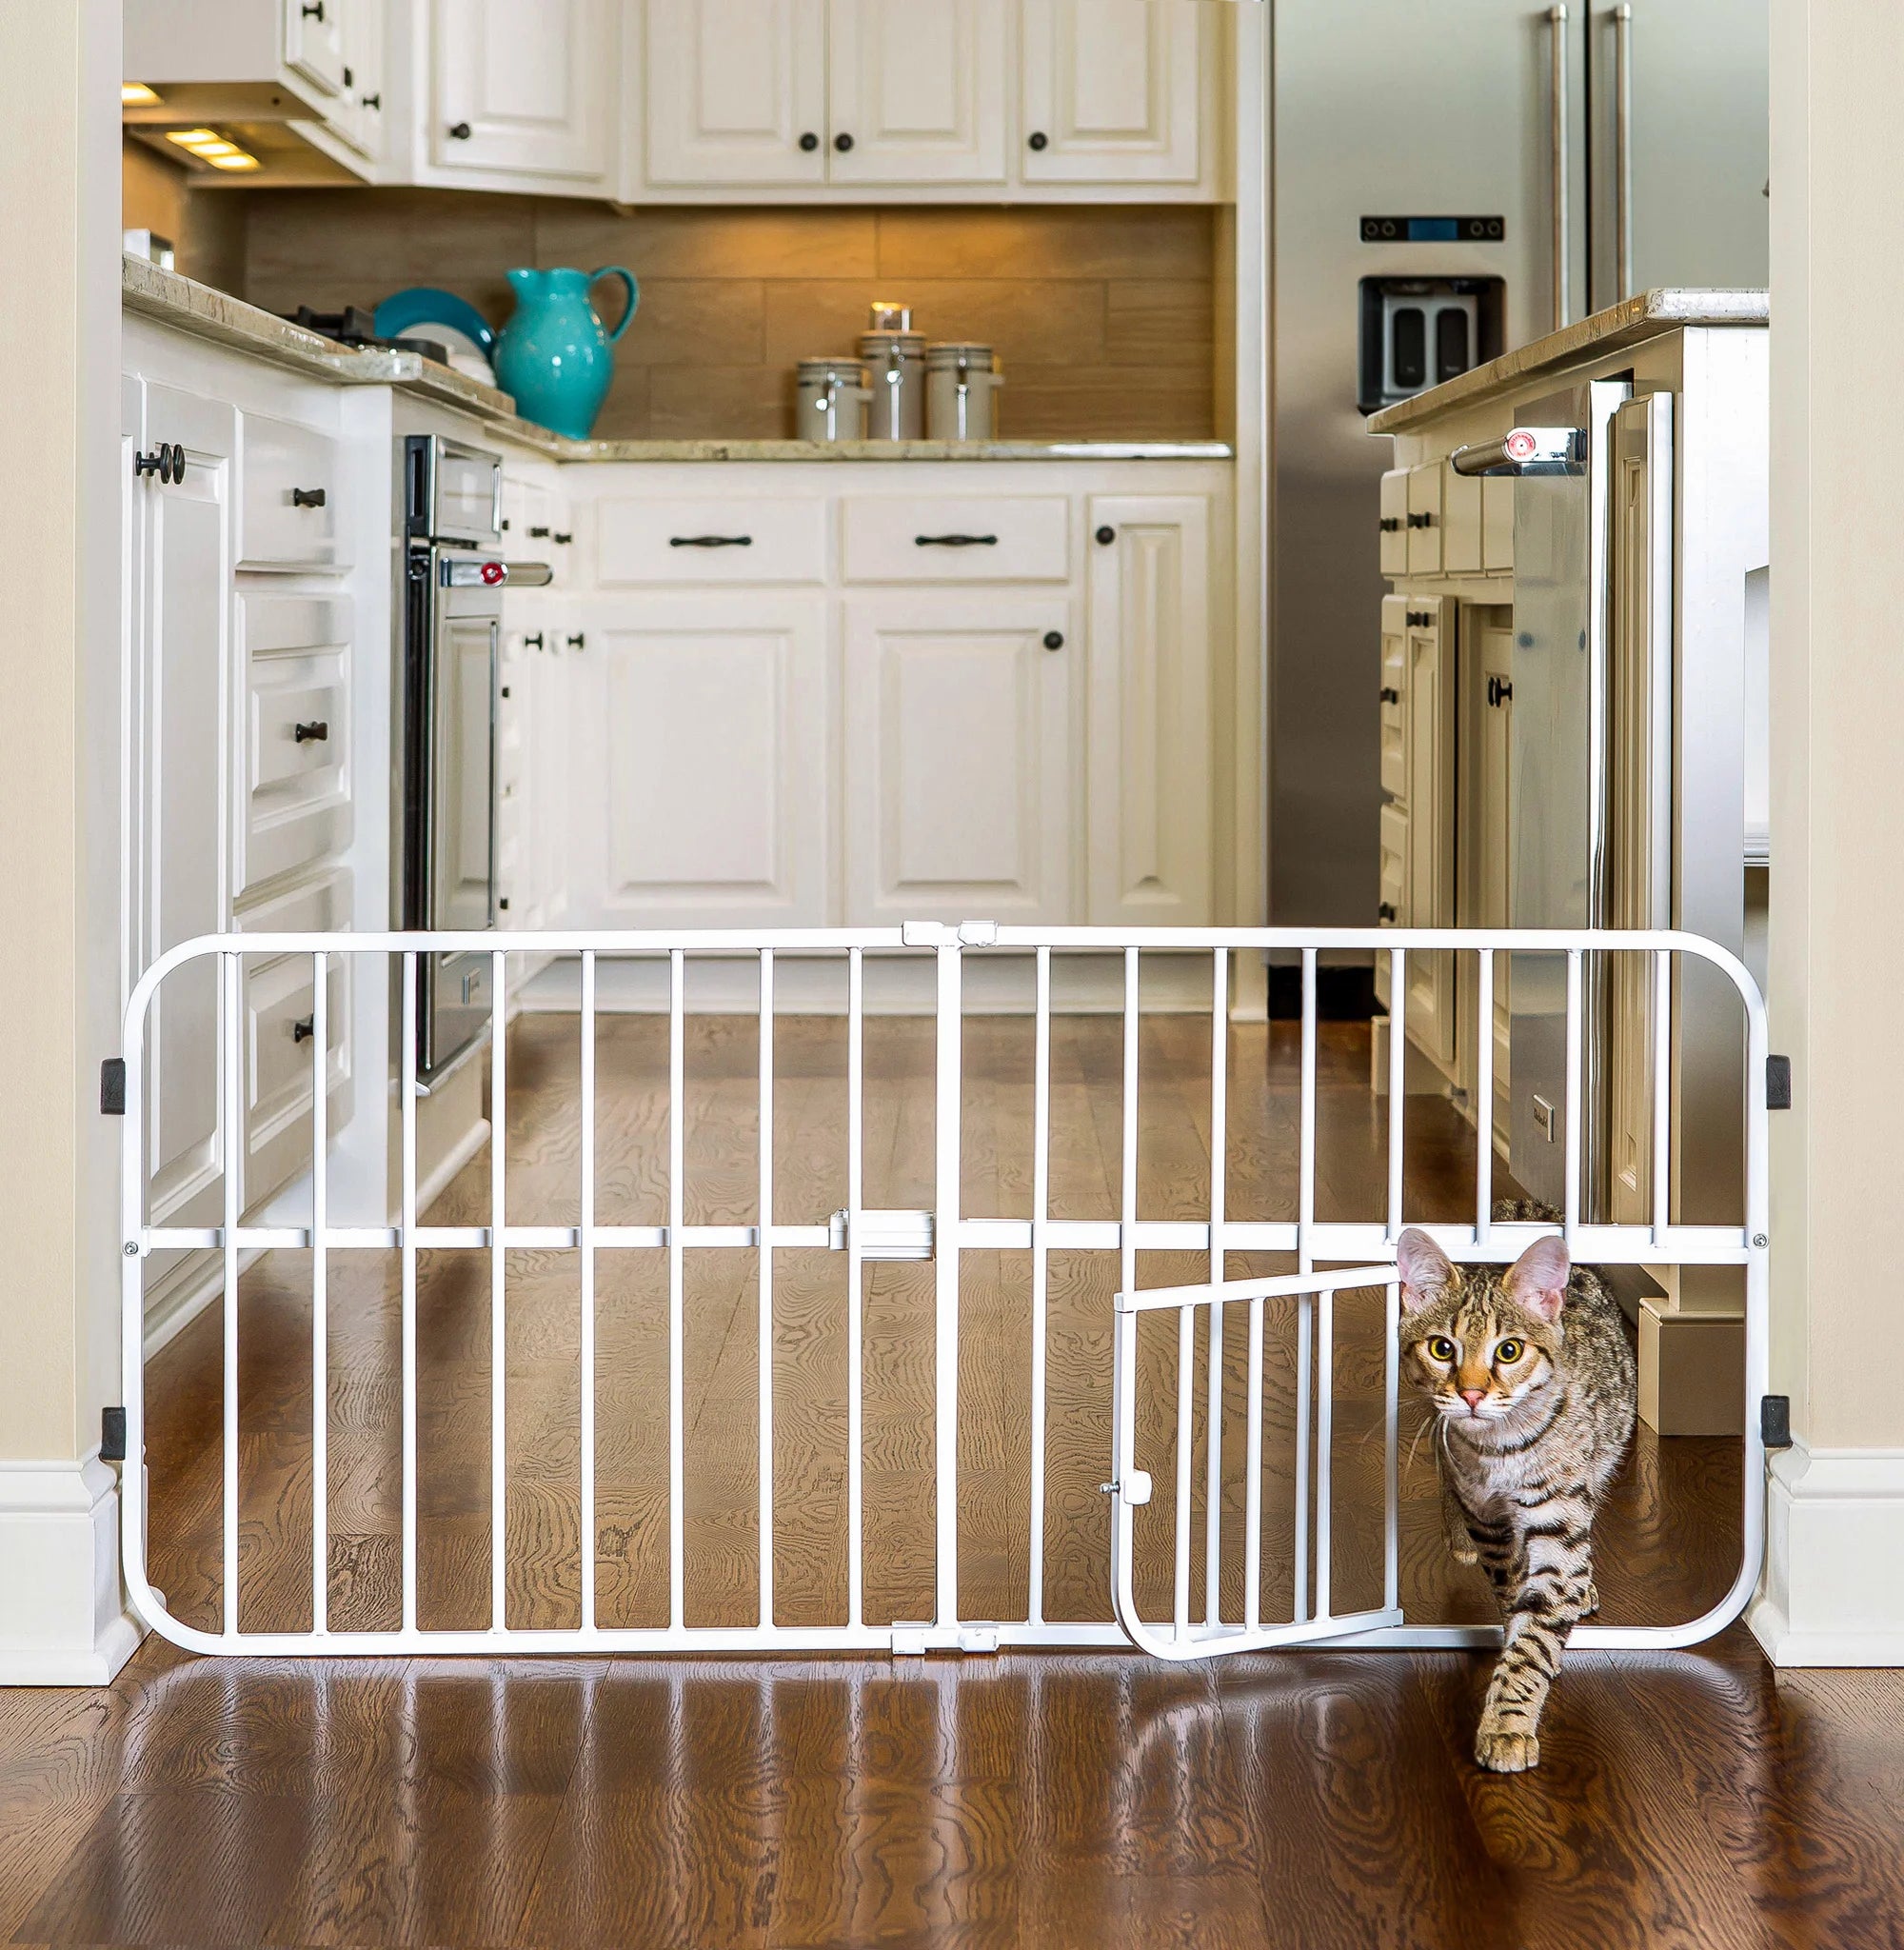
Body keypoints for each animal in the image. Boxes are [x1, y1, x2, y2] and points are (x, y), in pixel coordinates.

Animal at [1387, 1201, 1644, 1770]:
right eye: (1442, 1348)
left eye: (1508, 1351)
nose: (1472, 1394)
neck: (1499, 1451)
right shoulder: (1488, 1520)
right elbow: (1511, 1594)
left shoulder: (1559, 1519)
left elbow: (1536, 1634)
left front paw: (1508, 1721)